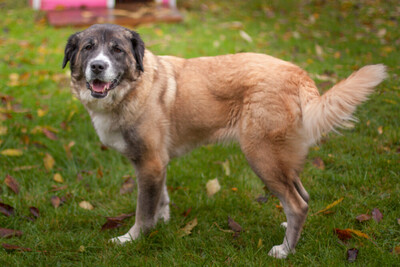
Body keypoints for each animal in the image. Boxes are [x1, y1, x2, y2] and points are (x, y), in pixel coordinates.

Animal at [63, 23, 388, 260]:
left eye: (117, 50)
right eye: (88, 48)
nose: (98, 66)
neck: (133, 88)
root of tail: (298, 74)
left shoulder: (150, 163)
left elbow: (143, 211)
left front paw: (131, 239)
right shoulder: (156, 163)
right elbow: (161, 197)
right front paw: (163, 221)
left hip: (262, 156)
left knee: (297, 204)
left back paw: (285, 251)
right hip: (281, 159)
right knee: (303, 196)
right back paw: (288, 231)